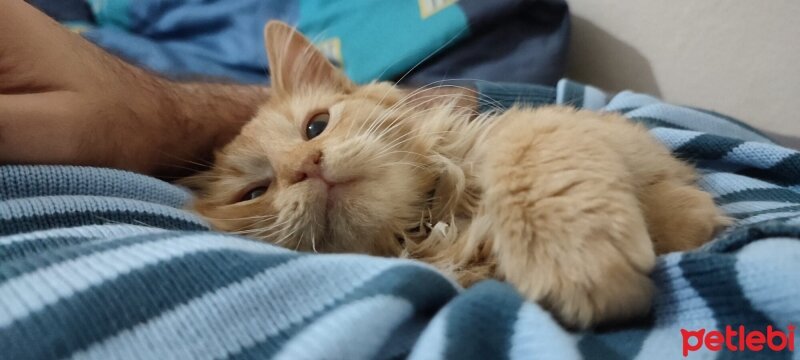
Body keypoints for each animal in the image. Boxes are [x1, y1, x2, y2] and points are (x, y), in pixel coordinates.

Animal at [183, 21, 732, 328]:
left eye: (315, 126)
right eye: (254, 192)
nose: (305, 167)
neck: (437, 219)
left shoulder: (555, 127)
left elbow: (529, 147)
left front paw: (580, 252)